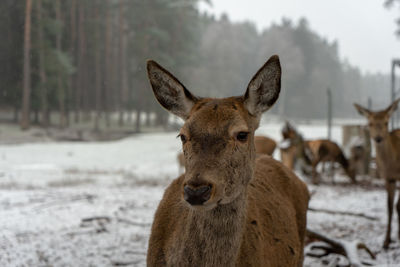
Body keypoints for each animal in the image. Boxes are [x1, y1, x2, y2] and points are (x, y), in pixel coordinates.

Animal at [354, 99, 400, 250]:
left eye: (386, 122)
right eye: (370, 123)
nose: (378, 138)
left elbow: (398, 206)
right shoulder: (388, 178)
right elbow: (390, 207)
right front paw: (386, 241)